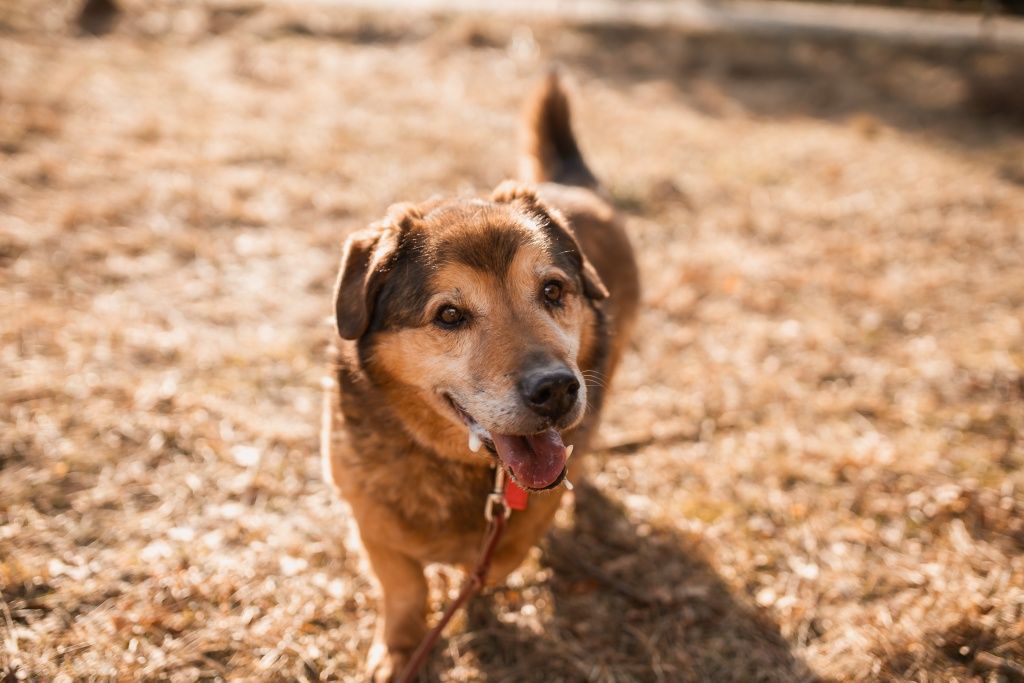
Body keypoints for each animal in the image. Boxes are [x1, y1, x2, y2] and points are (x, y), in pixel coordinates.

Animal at [323, 72, 634, 679]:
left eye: (552, 291)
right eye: (449, 315)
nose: (557, 390)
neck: (467, 471)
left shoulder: (523, 523)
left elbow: (498, 560)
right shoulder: (371, 524)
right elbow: (405, 589)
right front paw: (401, 650)